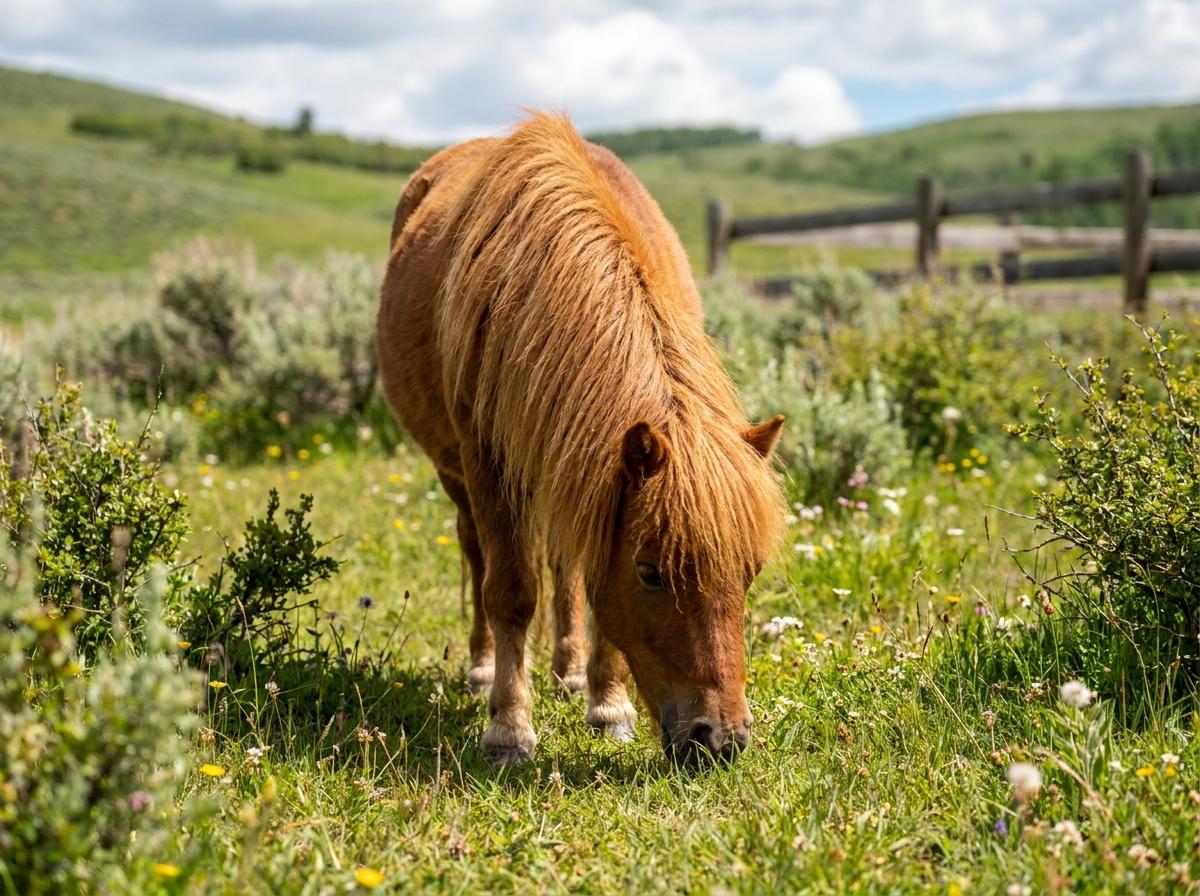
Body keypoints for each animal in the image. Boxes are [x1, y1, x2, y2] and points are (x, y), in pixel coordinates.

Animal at [377, 112, 785, 767]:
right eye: (651, 573)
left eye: (750, 571)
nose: (719, 740)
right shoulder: (488, 464)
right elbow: (510, 590)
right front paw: (508, 729)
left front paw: (608, 704)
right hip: (459, 476)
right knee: (477, 552)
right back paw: (483, 668)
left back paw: (569, 670)